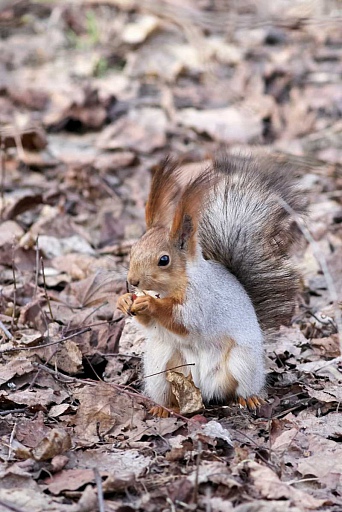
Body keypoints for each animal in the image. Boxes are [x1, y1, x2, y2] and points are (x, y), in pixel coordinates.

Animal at [116, 152, 306, 416]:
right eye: (133, 249)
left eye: (164, 260)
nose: (132, 281)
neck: (172, 288)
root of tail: (205, 389)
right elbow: (151, 325)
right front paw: (124, 300)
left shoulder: (203, 301)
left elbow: (184, 320)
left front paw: (152, 305)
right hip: (160, 365)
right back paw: (164, 407)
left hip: (242, 362)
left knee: (239, 388)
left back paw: (249, 398)